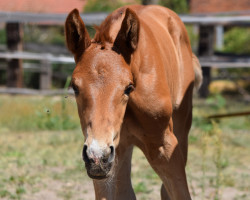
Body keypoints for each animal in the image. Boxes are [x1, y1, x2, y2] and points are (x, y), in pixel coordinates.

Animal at [64, 4, 201, 200]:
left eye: (128, 87)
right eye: (74, 87)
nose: (97, 157)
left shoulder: (165, 146)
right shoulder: (109, 154)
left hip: (182, 128)